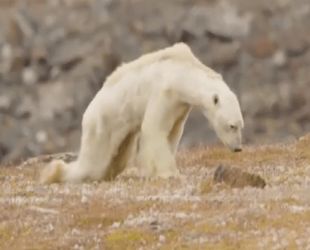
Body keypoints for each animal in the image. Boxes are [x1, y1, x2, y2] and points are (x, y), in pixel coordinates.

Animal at [40, 42, 245, 184]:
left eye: (241, 125)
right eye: (232, 126)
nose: (238, 148)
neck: (181, 71)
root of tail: (88, 112)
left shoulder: (180, 105)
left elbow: (172, 133)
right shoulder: (164, 92)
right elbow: (155, 129)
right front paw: (169, 173)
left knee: (116, 161)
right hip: (102, 123)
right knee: (94, 163)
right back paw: (54, 173)